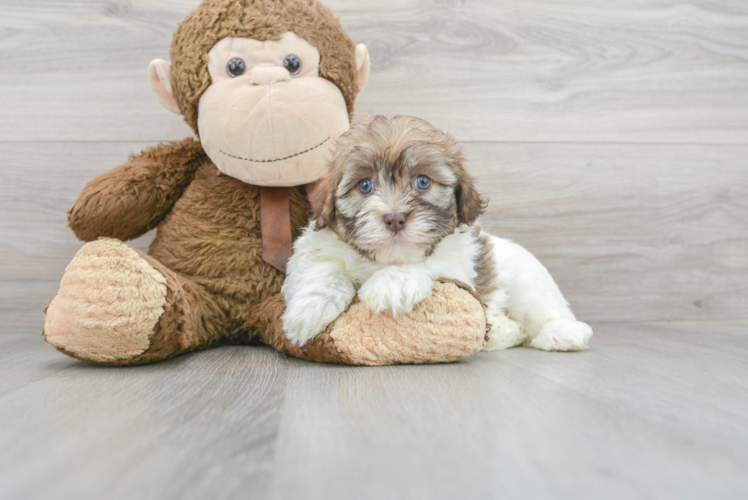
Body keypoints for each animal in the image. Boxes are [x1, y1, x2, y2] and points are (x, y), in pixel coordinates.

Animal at [280, 116, 592, 352]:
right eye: (365, 185)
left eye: (422, 182)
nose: (395, 218)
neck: (383, 260)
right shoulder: (312, 247)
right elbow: (322, 268)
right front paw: (309, 310)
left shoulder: (457, 259)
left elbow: (429, 264)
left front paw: (392, 284)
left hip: (527, 283)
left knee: (547, 311)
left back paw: (561, 334)